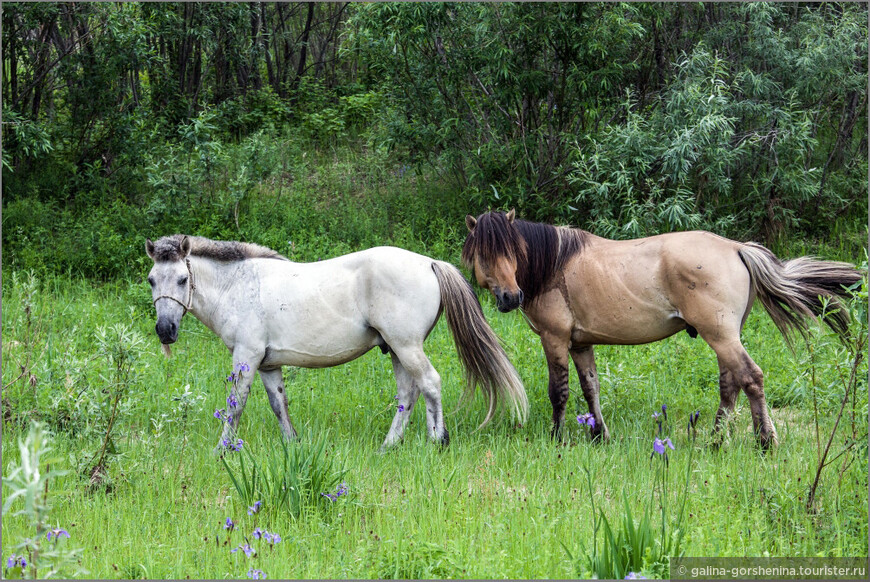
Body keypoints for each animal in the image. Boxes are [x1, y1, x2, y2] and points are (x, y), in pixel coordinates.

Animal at [146, 236, 528, 452]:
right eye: (151, 279)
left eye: (182, 279)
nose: (165, 330)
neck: (238, 285)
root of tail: (430, 263)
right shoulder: (269, 364)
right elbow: (279, 405)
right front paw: (292, 445)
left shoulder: (247, 357)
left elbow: (234, 406)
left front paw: (222, 450)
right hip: (398, 350)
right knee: (408, 394)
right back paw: (389, 446)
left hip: (406, 346)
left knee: (430, 385)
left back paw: (438, 441)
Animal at [466, 212, 860, 450]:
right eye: (483, 254)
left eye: (512, 250)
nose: (510, 297)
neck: (553, 265)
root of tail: (736, 248)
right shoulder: (581, 344)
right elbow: (591, 389)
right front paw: (599, 435)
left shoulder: (556, 340)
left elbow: (558, 392)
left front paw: (556, 437)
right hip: (724, 338)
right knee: (731, 384)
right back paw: (715, 441)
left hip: (720, 335)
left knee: (751, 378)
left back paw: (764, 442)